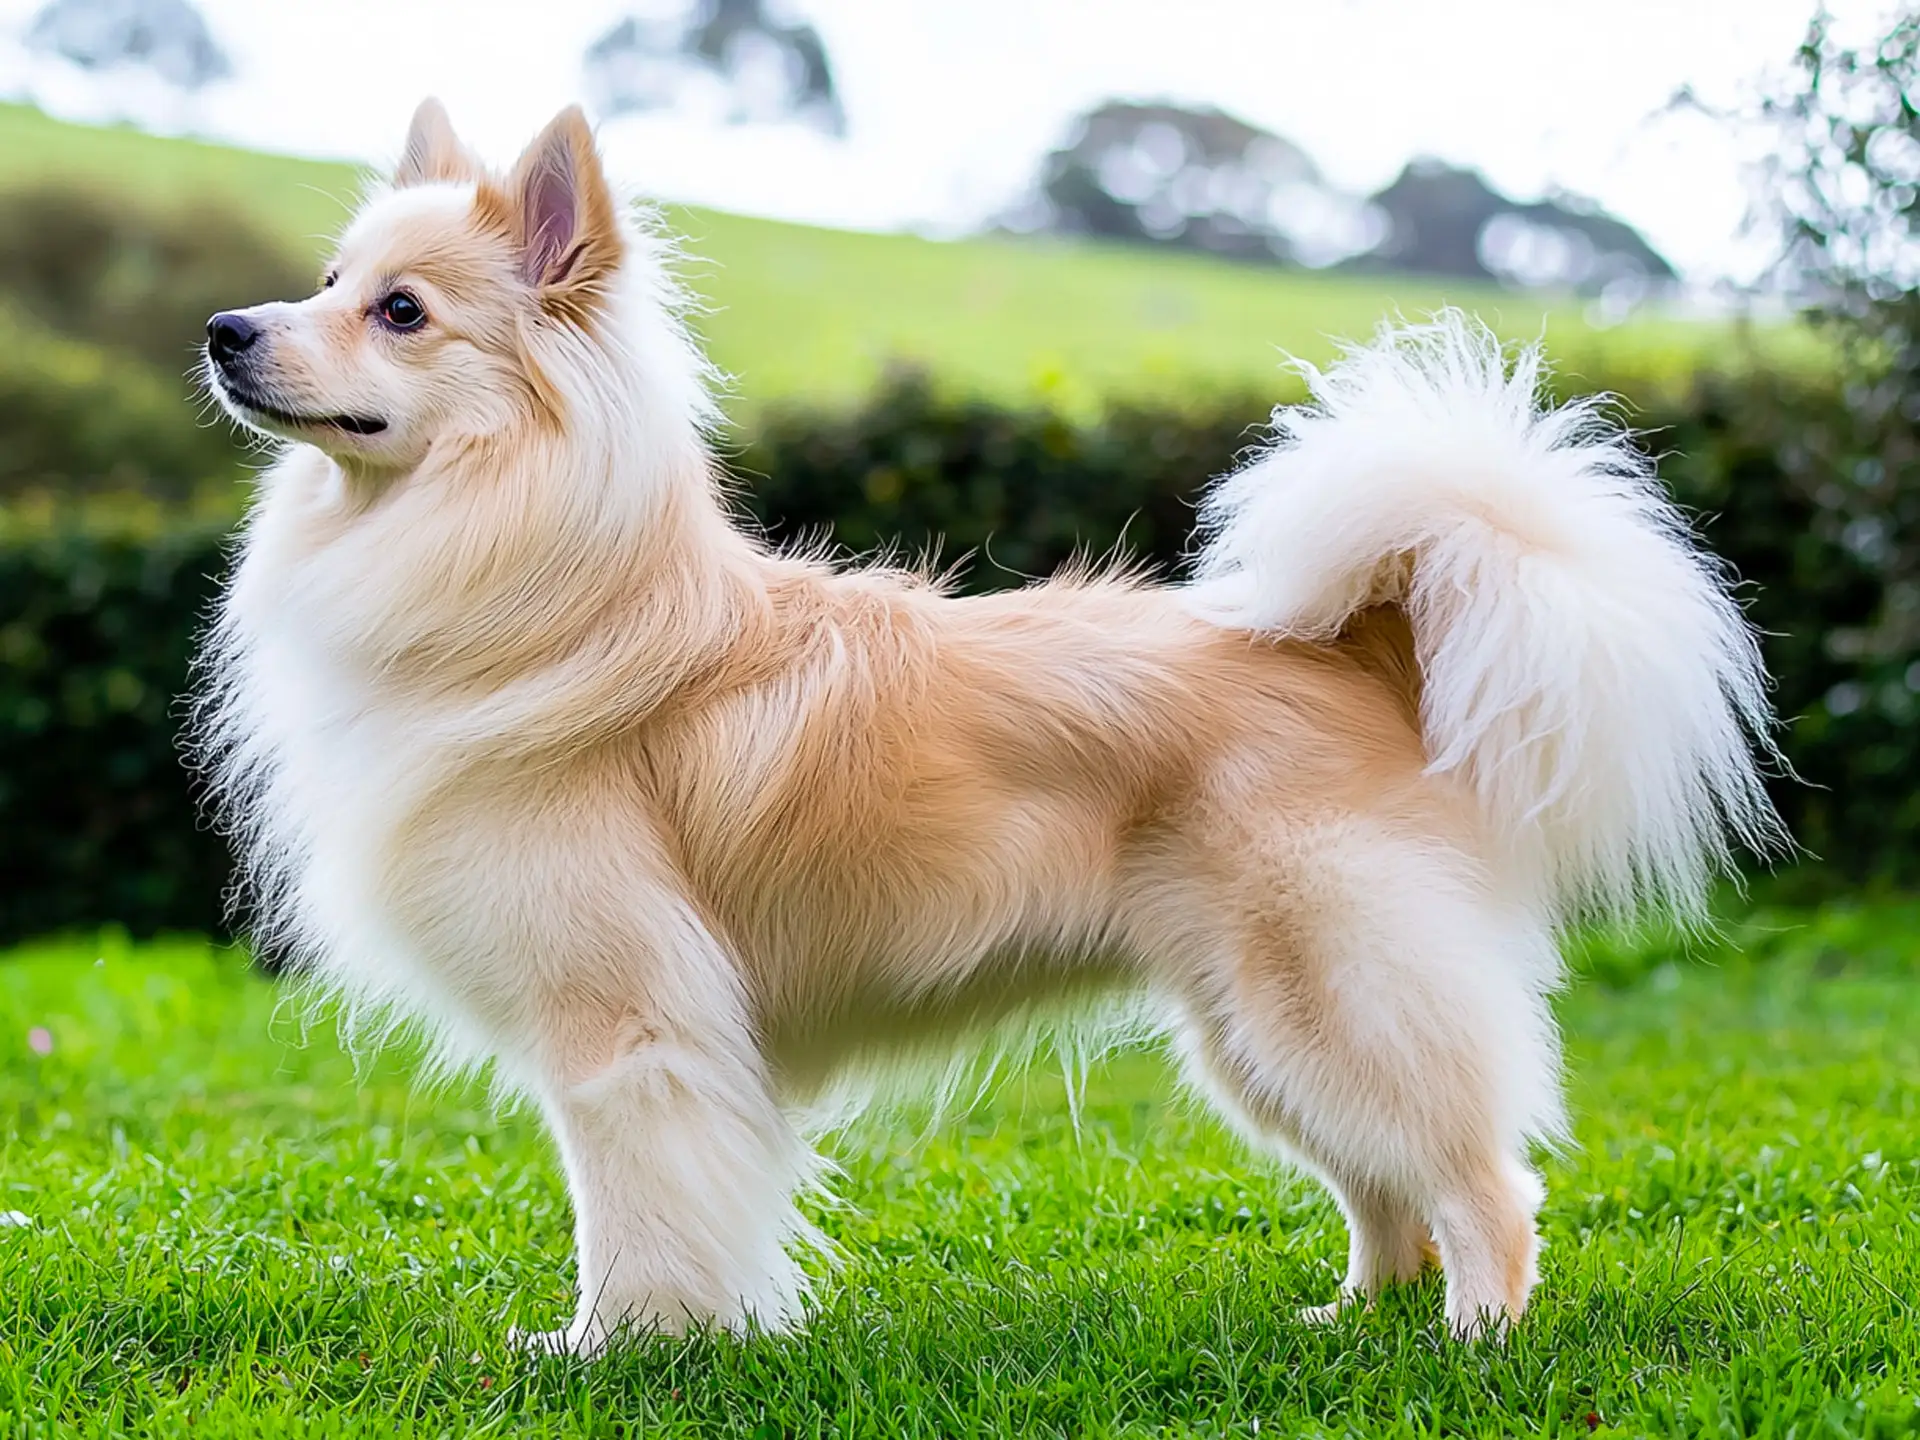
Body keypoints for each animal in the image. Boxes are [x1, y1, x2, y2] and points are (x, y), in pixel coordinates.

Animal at [198, 98, 1781, 1351]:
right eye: (326, 282)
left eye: (400, 311)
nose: (222, 328)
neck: (541, 585)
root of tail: (1362, 647)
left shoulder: (630, 1036)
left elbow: (637, 1228)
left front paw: (614, 1355)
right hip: (1254, 1029)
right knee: (1385, 1188)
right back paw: (1354, 1321)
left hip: (1329, 992)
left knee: (1481, 1180)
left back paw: (1476, 1339)